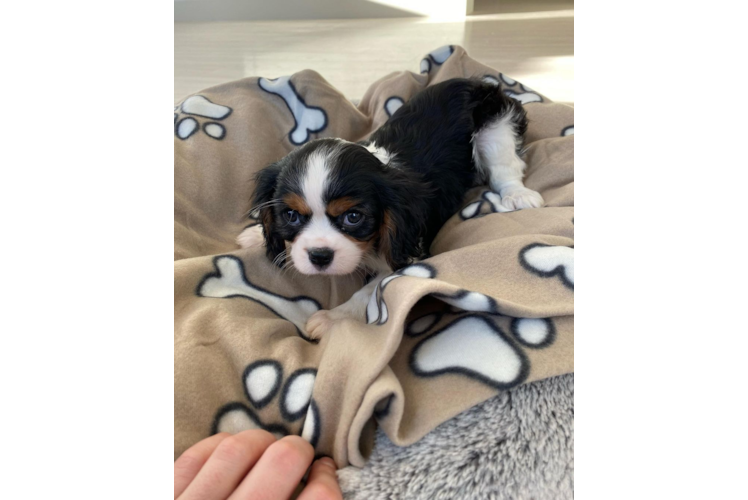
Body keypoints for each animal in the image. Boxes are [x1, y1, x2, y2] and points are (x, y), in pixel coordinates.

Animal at [240, 78, 544, 338]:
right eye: (290, 215)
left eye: (353, 217)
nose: (319, 256)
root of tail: (476, 81)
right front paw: (255, 233)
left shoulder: (409, 249)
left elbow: (372, 289)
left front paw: (334, 318)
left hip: (495, 128)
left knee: (505, 169)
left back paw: (518, 195)